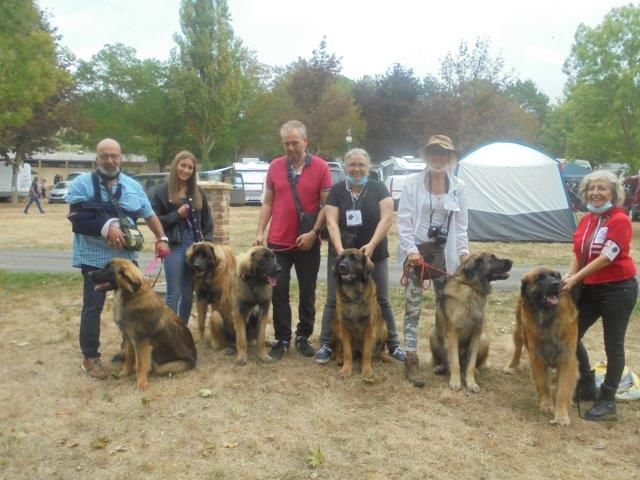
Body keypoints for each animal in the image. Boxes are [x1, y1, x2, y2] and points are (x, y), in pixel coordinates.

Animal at [87, 258, 196, 390]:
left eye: (108, 269)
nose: (89, 274)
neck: (131, 296)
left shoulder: (141, 341)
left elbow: (141, 364)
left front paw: (141, 383)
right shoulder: (129, 338)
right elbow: (129, 357)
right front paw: (125, 373)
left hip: (164, 364)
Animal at [332, 248, 388, 382]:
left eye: (354, 258)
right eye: (341, 258)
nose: (342, 266)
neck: (353, 296)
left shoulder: (369, 327)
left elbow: (367, 353)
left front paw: (367, 371)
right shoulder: (344, 327)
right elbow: (347, 352)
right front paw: (346, 369)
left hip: (383, 326)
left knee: (375, 351)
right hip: (336, 328)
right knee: (336, 348)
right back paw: (339, 359)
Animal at [428, 253, 512, 392]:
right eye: (492, 258)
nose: (511, 261)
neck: (471, 289)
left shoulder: (476, 335)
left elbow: (471, 364)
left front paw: (471, 383)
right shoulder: (453, 335)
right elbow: (454, 363)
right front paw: (455, 381)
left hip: (484, 339)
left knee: (473, 364)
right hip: (433, 335)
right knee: (447, 361)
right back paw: (442, 367)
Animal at [504, 266, 580, 428]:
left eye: (555, 276)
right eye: (539, 279)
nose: (557, 284)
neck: (547, 317)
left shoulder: (566, 359)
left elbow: (563, 390)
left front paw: (561, 415)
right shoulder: (537, 357)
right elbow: (543, 384)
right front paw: (546, 405)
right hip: (519, 331)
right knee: (517, 349)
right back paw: (512, 366)